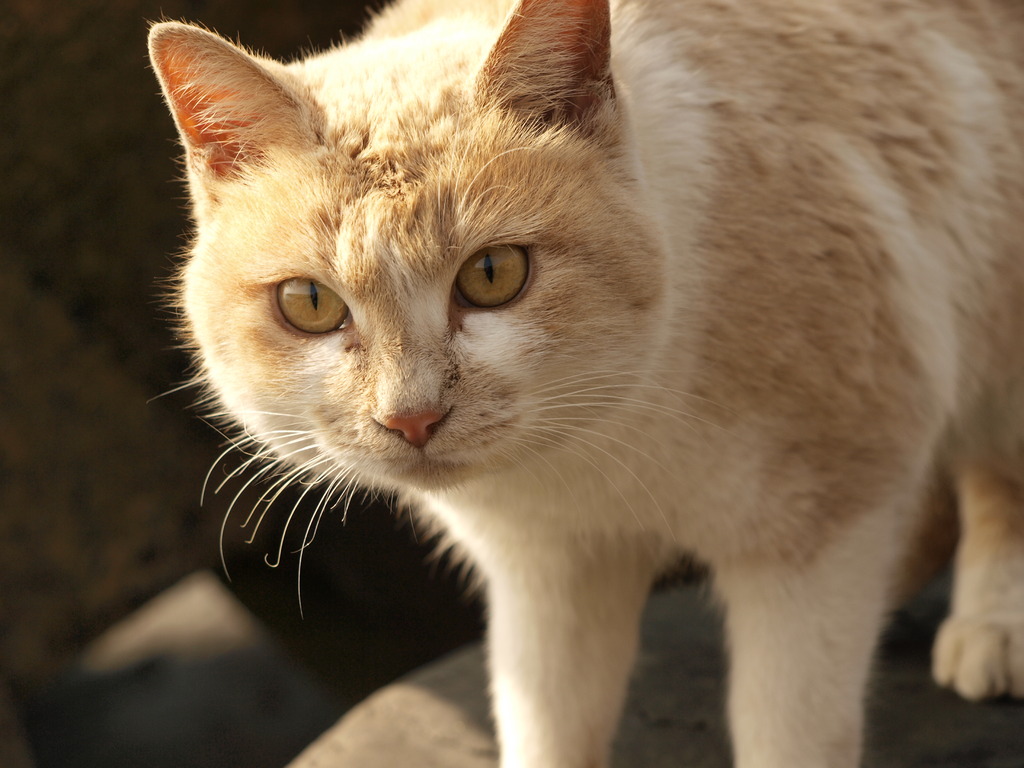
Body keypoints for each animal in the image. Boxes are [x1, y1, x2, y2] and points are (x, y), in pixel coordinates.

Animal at [149, 0, 1024, 765]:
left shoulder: (817, 539)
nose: (413, 418)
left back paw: (992, 621)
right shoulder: (548, 576)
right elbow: (550, 727)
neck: (596, 445)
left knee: (995, 471)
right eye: (310, 304)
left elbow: (791, 731)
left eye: (493, 276)